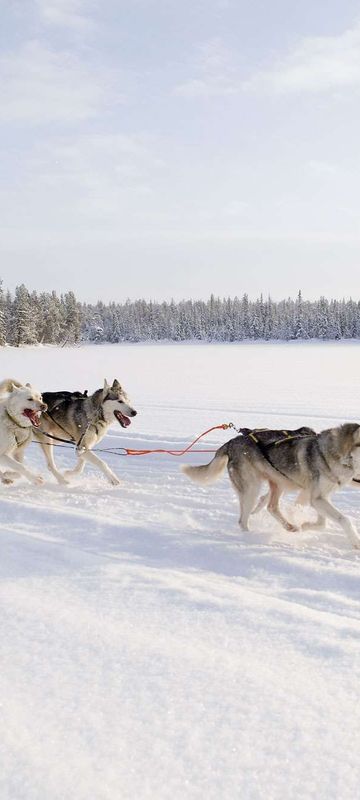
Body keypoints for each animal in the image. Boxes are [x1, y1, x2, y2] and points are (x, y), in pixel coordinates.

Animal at [181, 424, 360, 552]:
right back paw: (251, 538)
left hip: (277, 482)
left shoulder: (318, 497)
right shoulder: (316, 497)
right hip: (252, 489)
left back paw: (289, 526)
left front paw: (305, 526)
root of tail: (231, 443)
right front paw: (356, 542)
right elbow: (343, 519)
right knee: (243, 520)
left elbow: (322, 522)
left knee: (271, 506)